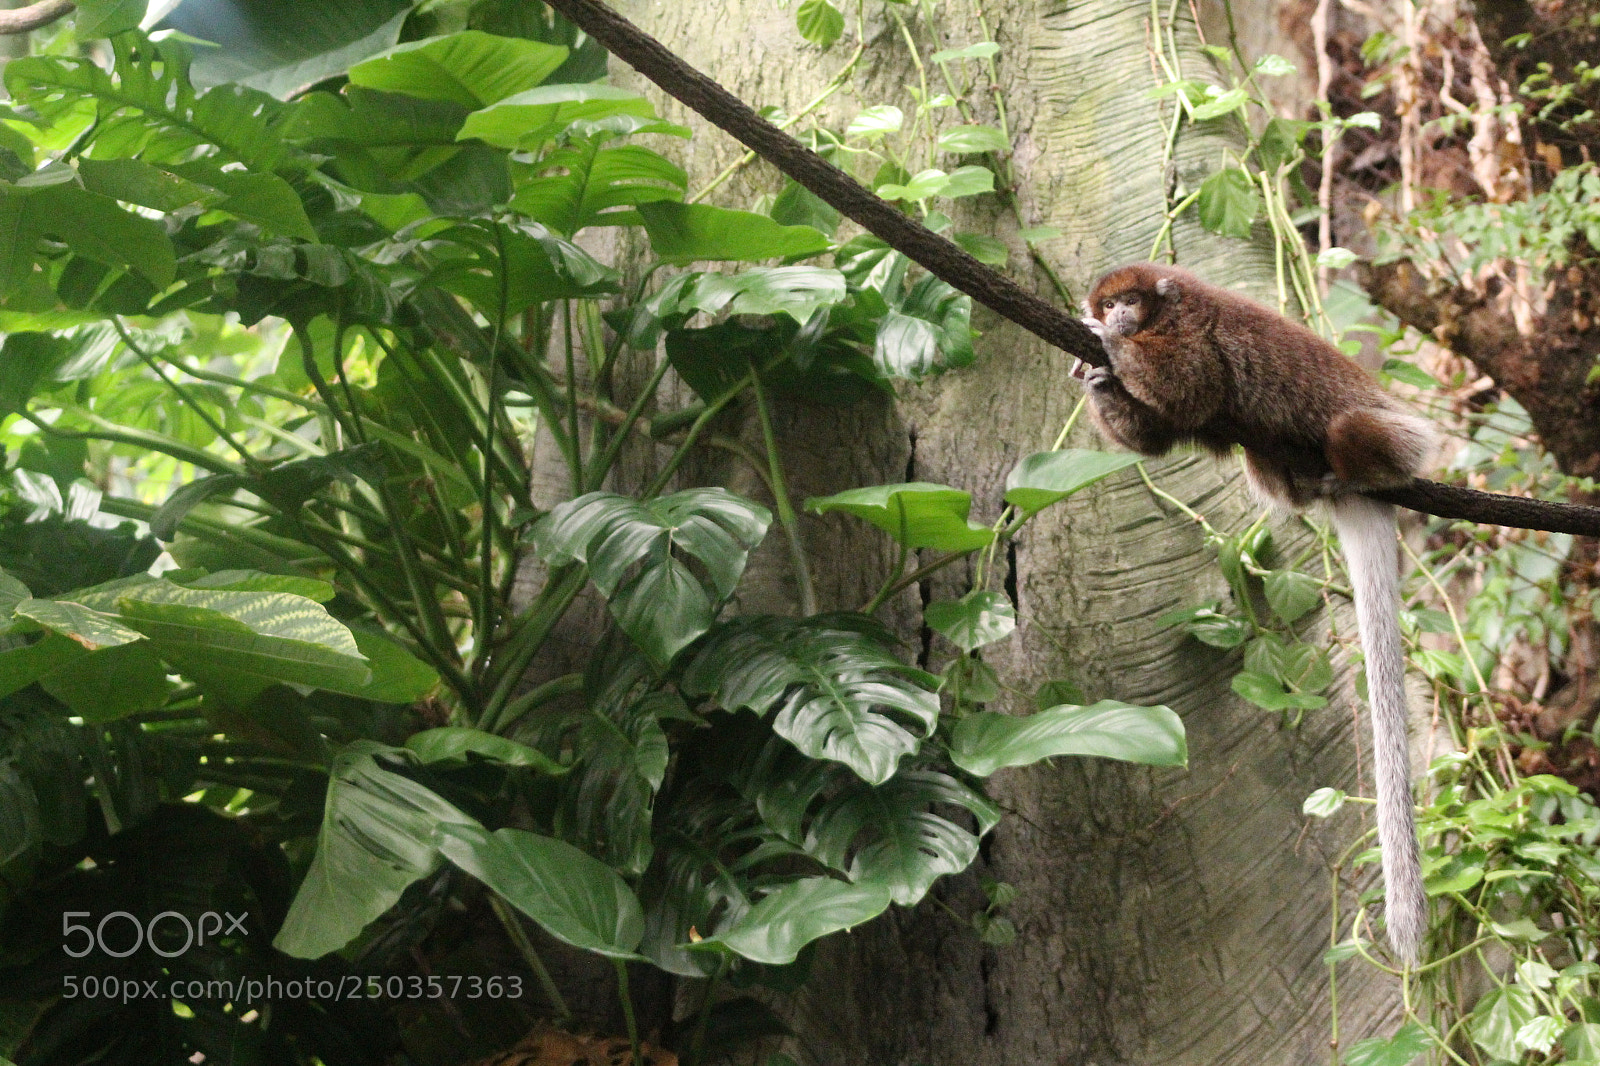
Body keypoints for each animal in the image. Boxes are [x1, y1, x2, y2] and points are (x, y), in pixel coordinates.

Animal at [1080, 262, 1434, 965]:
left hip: (1402, 438)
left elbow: (1189, 388)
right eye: (1110, 300)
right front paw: (1100, 374)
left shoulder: (1192, 330)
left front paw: (1108, 347)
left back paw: (1354, 473)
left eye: (1129, 300)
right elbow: (1161, 435)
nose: (1118, 316)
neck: (1167, 310)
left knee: (1355, 432)